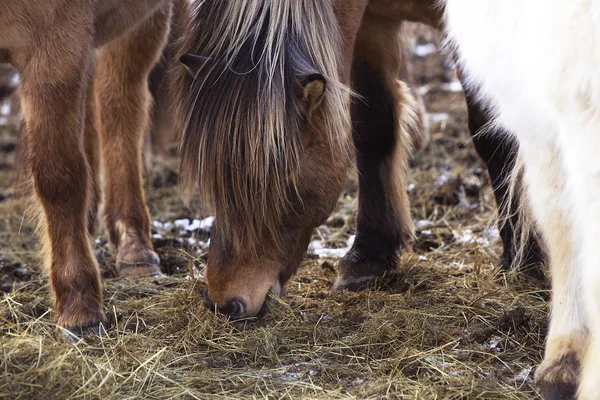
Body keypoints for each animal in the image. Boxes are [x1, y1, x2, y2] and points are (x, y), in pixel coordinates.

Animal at [175, 0, 544, 318]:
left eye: (284, 182)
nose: (225, 302)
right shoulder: (370, 24)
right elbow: (373, 127)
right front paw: (369, 255)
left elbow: (495, 135)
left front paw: (524, 260)